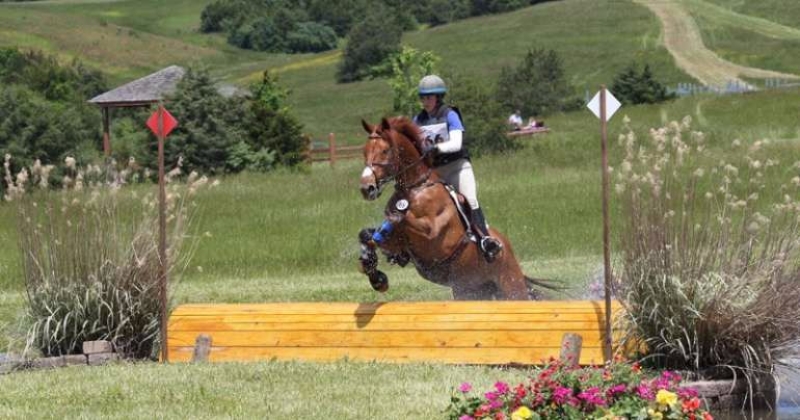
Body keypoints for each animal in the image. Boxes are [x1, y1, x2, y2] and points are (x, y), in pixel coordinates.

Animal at [357, 116, 549, 300]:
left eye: (385, 151)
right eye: (364, 151)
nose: (367, 188)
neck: (416, 188)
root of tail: (507, 248)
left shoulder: (433, 234)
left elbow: (402, 220)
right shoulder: (398, 243)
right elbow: (368, 235)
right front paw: (376, 276)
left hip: (511, 285)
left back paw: (490, 244)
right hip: (470, 290)